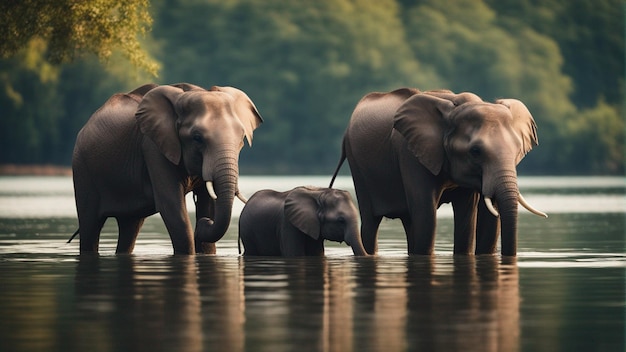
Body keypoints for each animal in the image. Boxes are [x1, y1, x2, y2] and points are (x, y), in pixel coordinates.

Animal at [72, 82, 262, 253]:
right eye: (197, 138)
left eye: (241, 139)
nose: (203, 224)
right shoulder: (153, 147)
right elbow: (171, 205)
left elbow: (209, 204)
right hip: (82, 168)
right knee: (90, 224)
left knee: (130, 226)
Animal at [330, 86, 544, 254]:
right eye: (475, 151)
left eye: (517, 150)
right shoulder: (410, 154)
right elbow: (426, 215)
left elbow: (467, 214)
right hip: (358, 167)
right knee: (371, 222)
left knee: (409, 220)